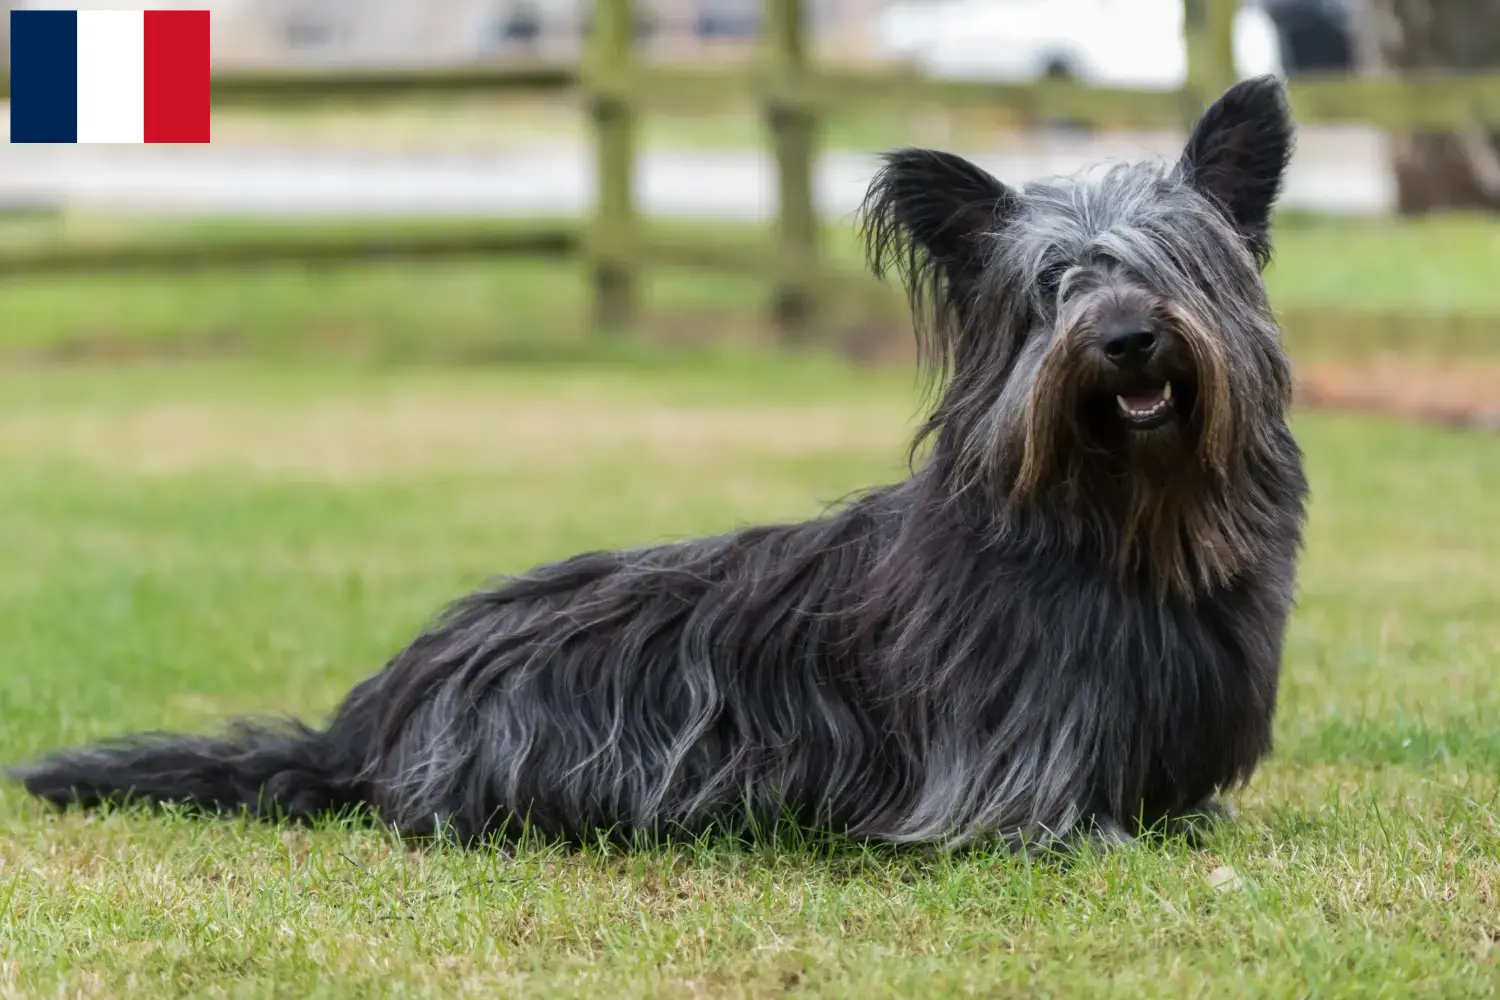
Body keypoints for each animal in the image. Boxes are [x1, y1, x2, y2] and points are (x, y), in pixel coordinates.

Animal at [8, 80, 1302, 851]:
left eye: (1173, 263)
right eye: (1051, 288)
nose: (1125, 339)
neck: (1116, 525)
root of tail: (364, 723)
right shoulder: (1001, 786)